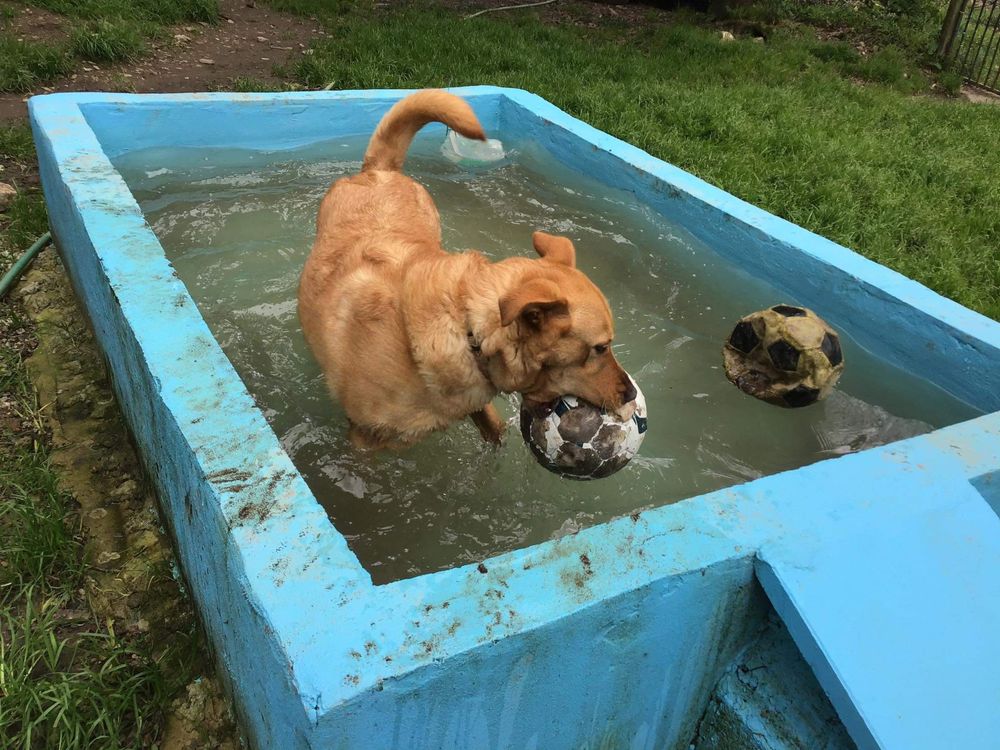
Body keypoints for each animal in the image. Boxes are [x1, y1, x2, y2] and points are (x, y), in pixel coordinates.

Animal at [296, 91, 636, 450]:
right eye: (600, 348)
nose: (630, 393)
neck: (466, 327)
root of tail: (379, 171)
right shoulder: (363, 437)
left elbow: (493, 426)